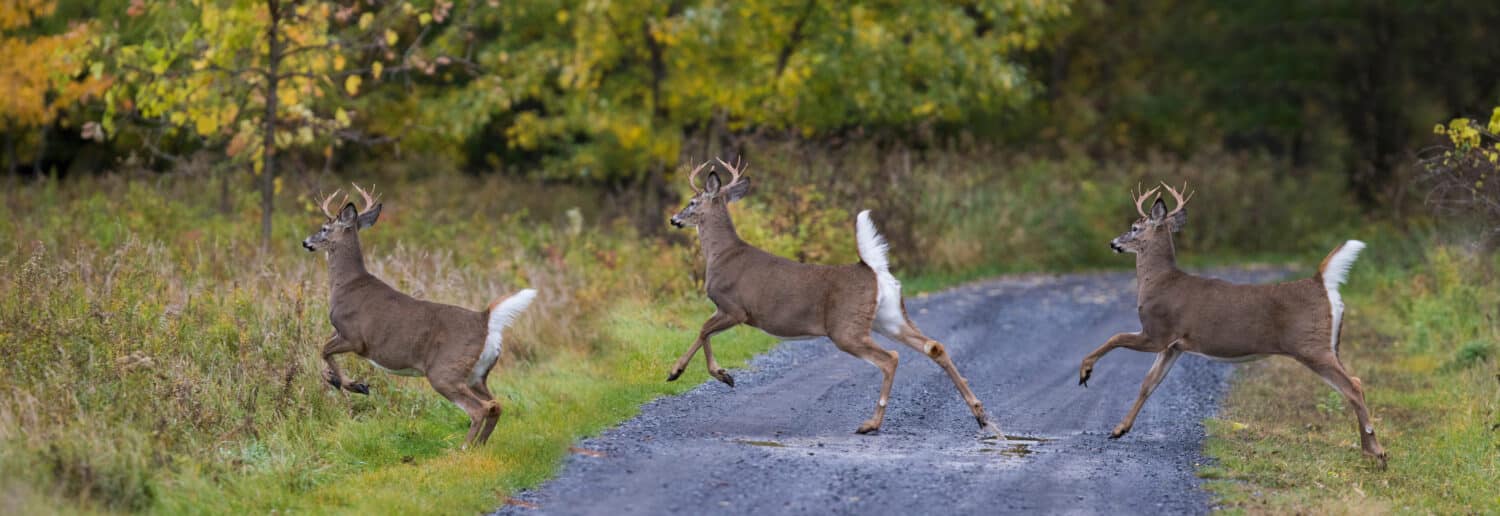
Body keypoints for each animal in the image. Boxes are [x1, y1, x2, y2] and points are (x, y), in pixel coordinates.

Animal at [301, 185, 537, 447]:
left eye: (324, 228)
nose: (305, 242)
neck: (346, 285)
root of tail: (485, 319)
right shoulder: (340, 333)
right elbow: (324, 359)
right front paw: (349, 383)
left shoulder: (354, 336)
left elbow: (323, 350)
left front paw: (354, 385)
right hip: (477, 374)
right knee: (497, 404)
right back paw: (479, 446)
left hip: (445, 370)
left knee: (480, 408)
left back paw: (464, 448)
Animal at [672, 159, 1008, 438]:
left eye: (691, 202)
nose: (674, 219)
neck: (721, 255)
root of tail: (873, 270)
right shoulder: (729, 310)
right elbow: (704, 332)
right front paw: (715, 374)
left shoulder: (734, 307)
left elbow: (702, 330)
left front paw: (687, 372)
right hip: (889, 317)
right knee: (934, 346)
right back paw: (981, 416)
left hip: (845, 327)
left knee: (891, 358)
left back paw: (871, 424)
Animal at [1080, 183, 1380, 465]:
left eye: (1134, 227)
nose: (1113, 243)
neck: (1158, 282)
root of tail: (1321, 283)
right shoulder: (1173, 346)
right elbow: (1148, 384)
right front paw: (1119, 429)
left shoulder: (1158, 332)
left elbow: (1116, 337)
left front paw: (1085, 372)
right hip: (1329, 345)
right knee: (1356, 382)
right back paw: (1369, 451)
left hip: (1310, 345)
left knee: (1352, 387)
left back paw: (1377, 452)